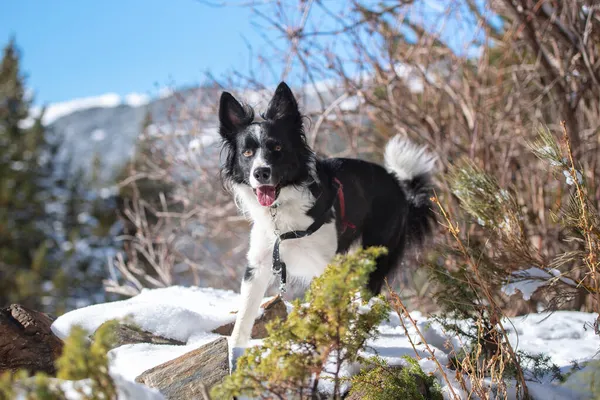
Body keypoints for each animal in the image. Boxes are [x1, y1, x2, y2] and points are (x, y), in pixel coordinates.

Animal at [218, 82, 434, 368]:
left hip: (373, 258)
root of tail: (399, 186)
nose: (260, 173)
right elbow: (243, 320)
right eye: (247, 152)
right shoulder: (259, 265)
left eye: (277, 148)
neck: (282, 211)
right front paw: (236, 362)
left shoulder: (325, 268)